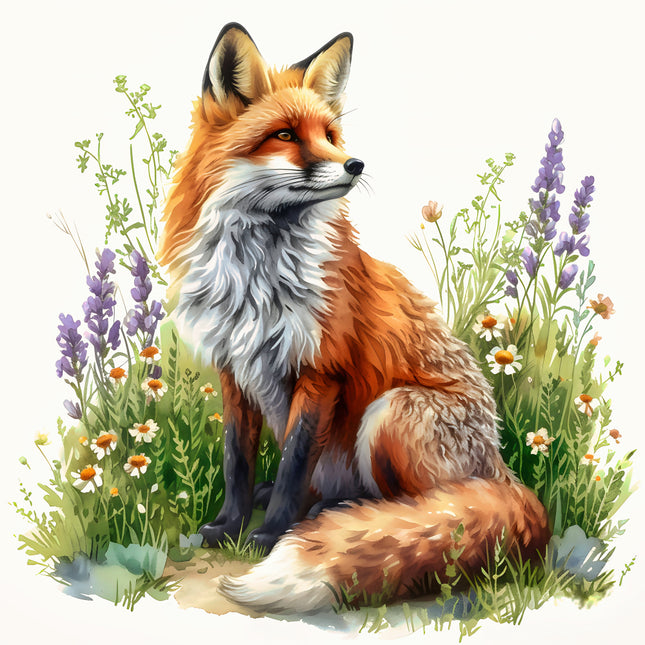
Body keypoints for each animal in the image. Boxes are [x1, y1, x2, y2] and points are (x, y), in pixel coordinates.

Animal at [158, 23, 551, 614]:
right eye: (284, 135)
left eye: (330, 135)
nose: (355, 164)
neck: (259, 274)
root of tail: (501, 471)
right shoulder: (234, 369)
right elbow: (236, 461)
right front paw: (228, 525)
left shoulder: (323, 369)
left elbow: (293, 463)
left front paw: (270, 534)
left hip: (391, 413)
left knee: (428, 508)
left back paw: (344, 516)